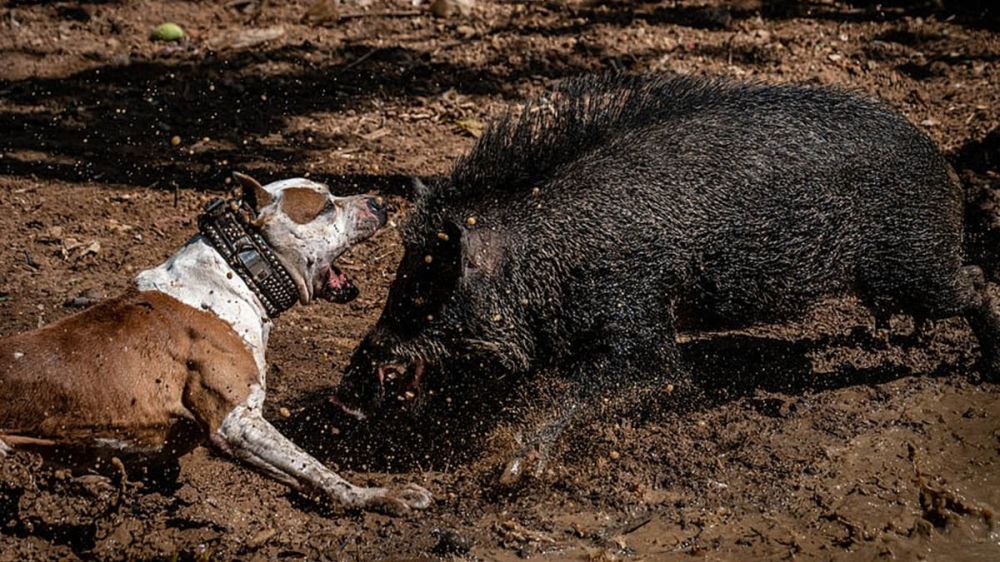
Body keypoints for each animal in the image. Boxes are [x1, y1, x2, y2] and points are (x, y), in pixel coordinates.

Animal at [0, 174, 430, 512]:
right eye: (325, 206)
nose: (380, 201)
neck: (237, 272)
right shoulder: (237, 423)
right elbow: (314, 468)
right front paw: (373, 496)